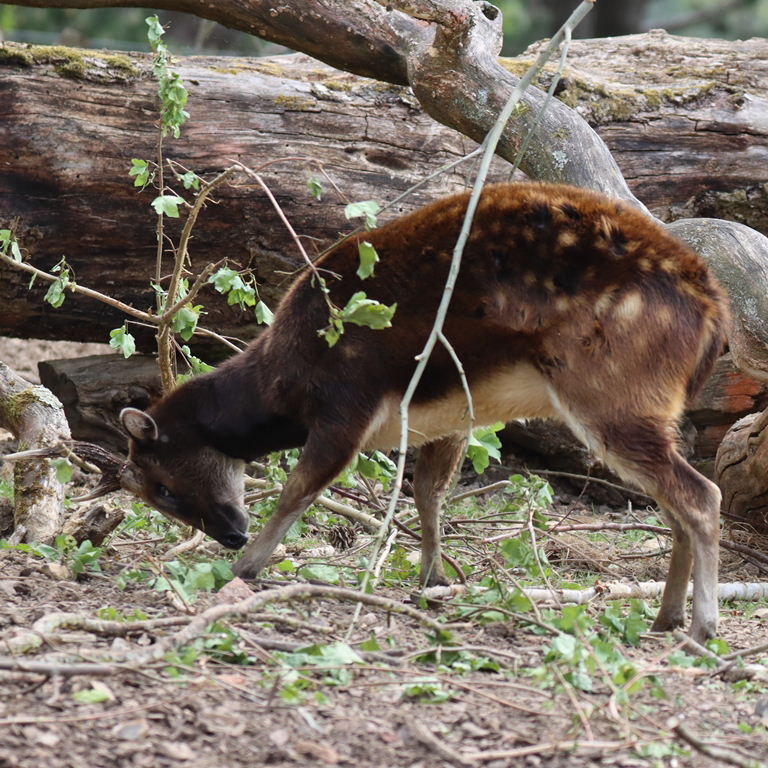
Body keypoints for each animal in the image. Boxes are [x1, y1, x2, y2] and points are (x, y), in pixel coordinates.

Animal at [75, 182, 730, 643]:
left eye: (163, 486)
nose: (230, 533)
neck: (285, 381)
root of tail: (714, 315)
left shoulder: (347, 399)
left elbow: (299, 488)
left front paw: (249, 567)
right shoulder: (452, 415)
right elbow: (428, 494)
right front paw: (432, 580)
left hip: (612, 391)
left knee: (701, 494)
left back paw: (702, 626)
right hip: (644, 406)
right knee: (673, 501)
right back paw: (666, 617)